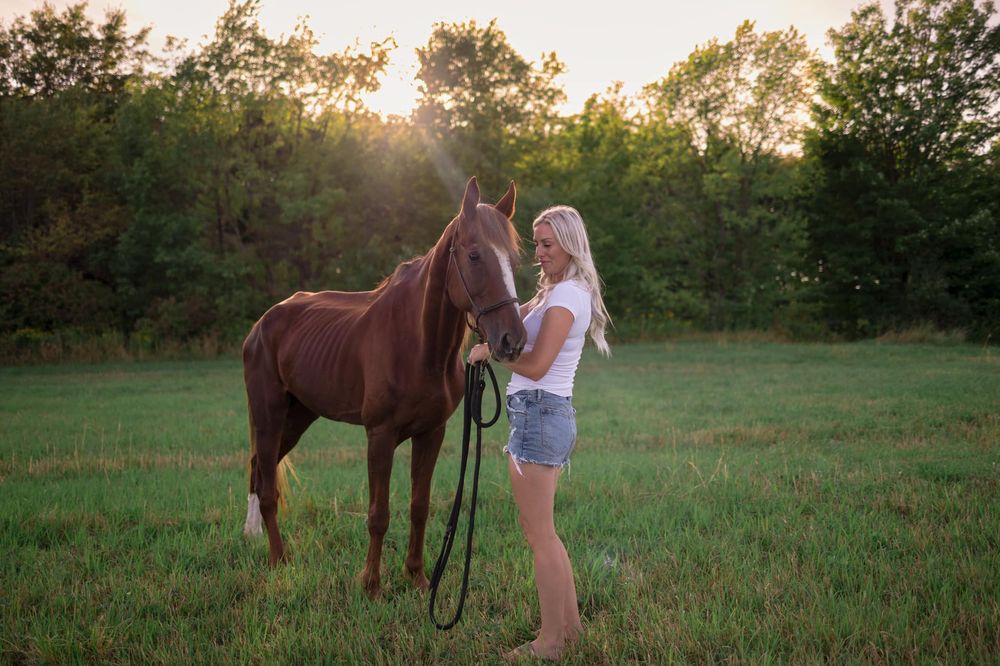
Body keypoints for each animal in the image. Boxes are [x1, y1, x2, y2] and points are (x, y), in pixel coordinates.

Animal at [241, 176, 526, 596]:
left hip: (297, 417)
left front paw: (418, 577)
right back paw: (278, 560)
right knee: (265, 485)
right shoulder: (380, 435)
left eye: (514, 260)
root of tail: (262, 324)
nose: (512, 339)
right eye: (475, 256)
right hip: (269, 415)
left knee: (261, 468)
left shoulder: (431, 433)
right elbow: (379, 513)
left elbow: (419, 506)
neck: (417, 344)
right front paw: (372, 585)